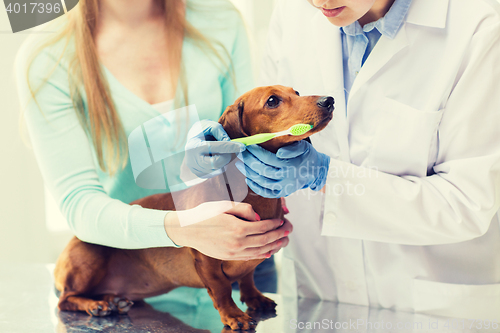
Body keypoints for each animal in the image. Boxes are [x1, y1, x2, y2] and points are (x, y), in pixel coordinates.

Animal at [54, 85, 334, 330]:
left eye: (296, 92)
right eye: (273, 101)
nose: (329, 100)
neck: (252, 197)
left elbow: (247, 277)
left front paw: (254, 297)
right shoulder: (206, 260)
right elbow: (222, 290)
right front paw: (234, 315)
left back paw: (114, 300)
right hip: (90, 259)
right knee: (64, 299)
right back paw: (97, 305)